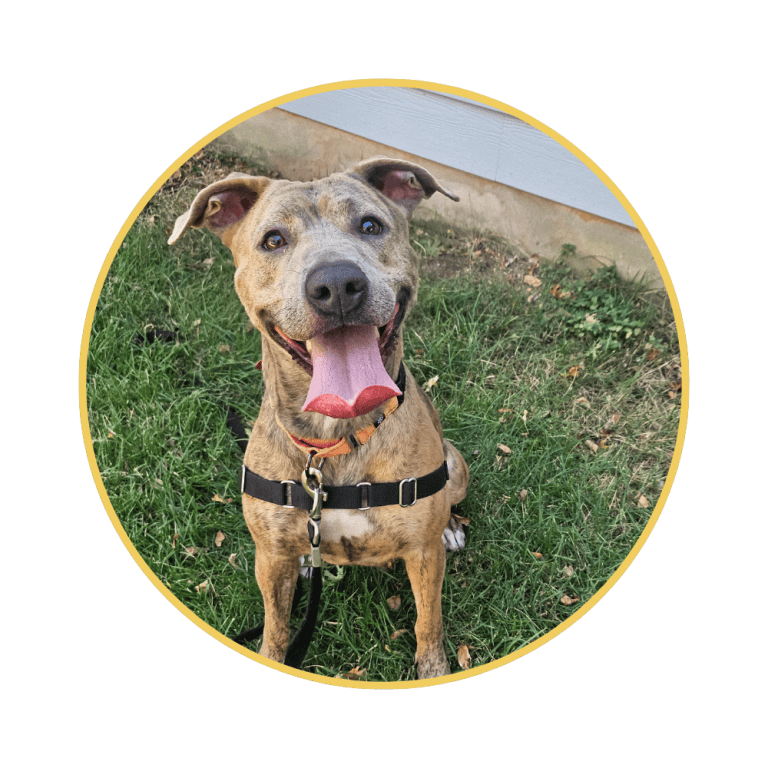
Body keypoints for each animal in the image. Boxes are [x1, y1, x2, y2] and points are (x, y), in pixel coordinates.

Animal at [168, 156, 468, 680]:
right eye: (273, 240)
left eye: (370, 226)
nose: (337, 285)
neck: (336, 441)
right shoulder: (269, 557)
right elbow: (275, 626)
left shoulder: (423, 554)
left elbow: (428, 624)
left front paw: (433, 670)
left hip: (457, 464)